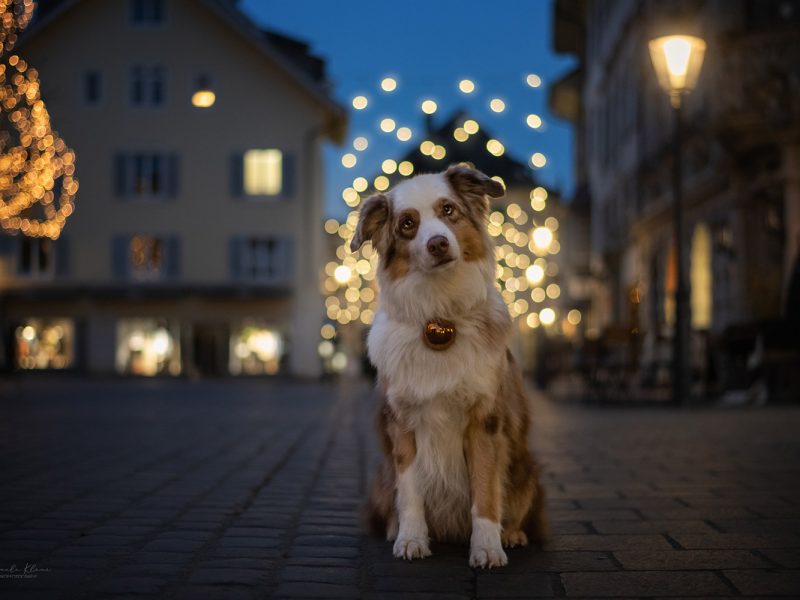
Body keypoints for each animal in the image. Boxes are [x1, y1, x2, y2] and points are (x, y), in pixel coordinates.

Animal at [352, 164, 548, 568]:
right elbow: (410, 492)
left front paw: (487, 547)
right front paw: (411, 539)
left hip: (527, 468)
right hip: (381, 474)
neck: (439, 317)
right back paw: (395, 528)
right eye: (407, 224)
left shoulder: (486, 421)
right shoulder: (403, 423)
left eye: (448, 210)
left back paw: (513, 534)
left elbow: (486, 492)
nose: (438, 244)